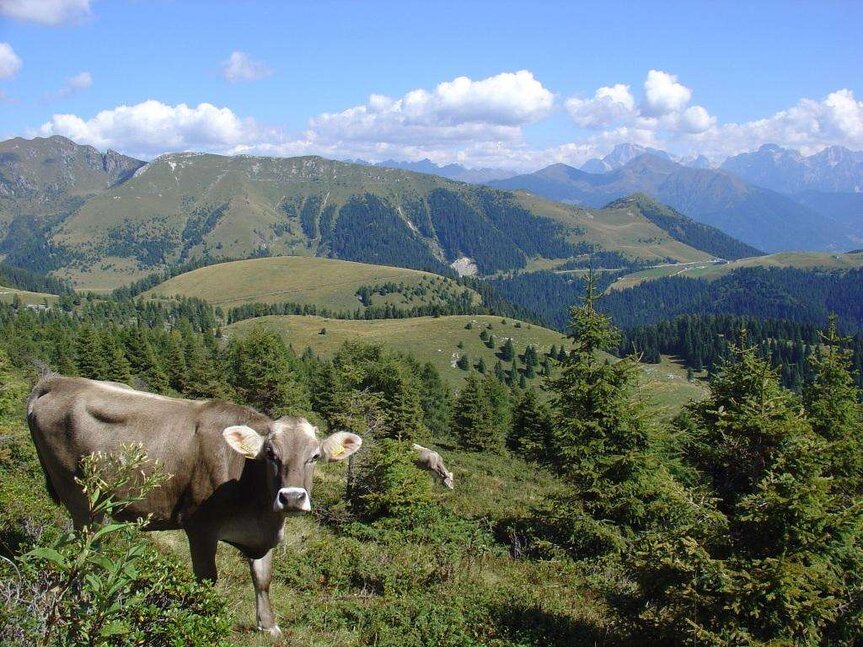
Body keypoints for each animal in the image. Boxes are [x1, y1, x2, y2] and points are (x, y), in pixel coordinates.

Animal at [27, 374, 362, 636]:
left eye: (314, 456)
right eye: (270, 454)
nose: (291, 497)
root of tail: (57, 381)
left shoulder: (262, 536)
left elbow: (263, 579)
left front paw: (269, 626)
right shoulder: (200, 528)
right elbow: (206, 581)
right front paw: (205, 619)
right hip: (82, 499)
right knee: (83, 553)